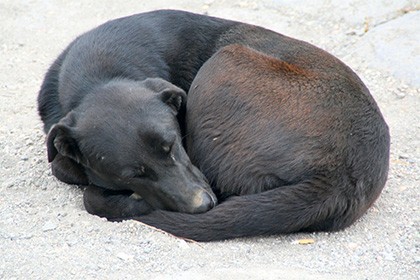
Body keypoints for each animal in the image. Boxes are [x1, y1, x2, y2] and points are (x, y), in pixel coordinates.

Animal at [37, 9, 388, 240]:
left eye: (173, 145)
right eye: (132, 174)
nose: (202, 205)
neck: (99, 73)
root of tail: (337, 178)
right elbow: (63, 165)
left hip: (223, 61)